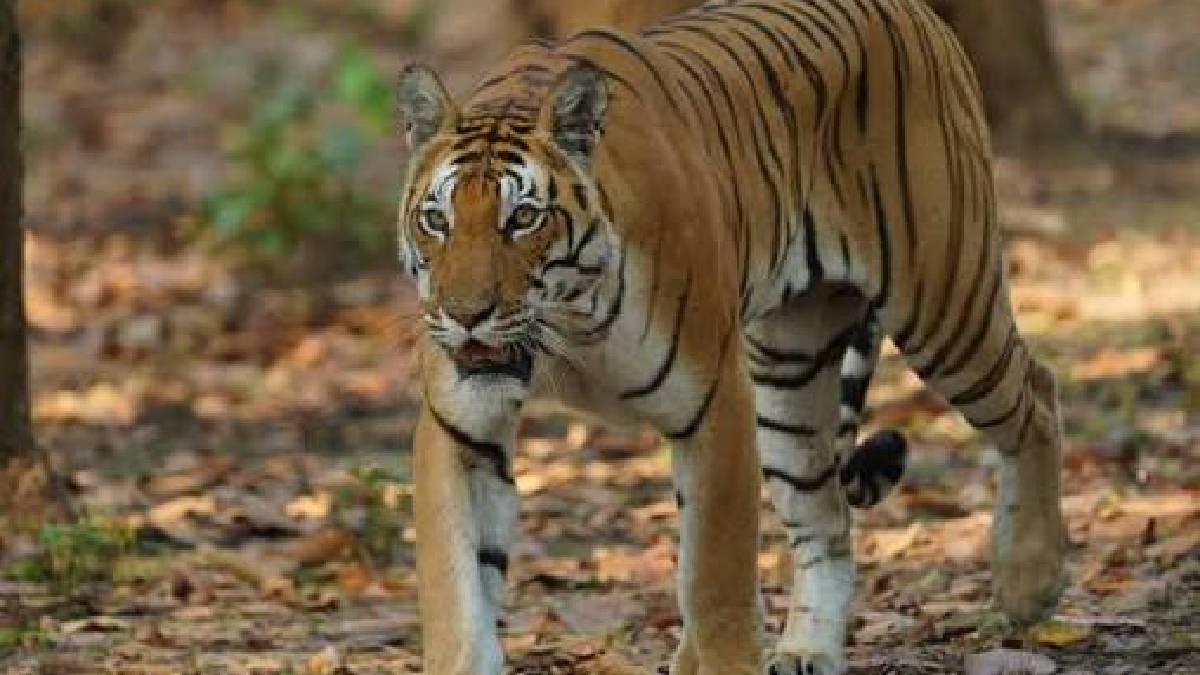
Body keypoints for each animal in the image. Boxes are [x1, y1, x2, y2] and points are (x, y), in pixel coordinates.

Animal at [396, 0, 1068, 673]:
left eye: (523, 218)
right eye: (437, 220)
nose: (465, 314)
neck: (567, 323)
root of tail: (919, 14)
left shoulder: (713, 401)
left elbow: (714, 577)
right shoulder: (461, 425)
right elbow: (457, 587)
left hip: (945, 301)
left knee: (1035, 396)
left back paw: (1031, 578)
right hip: (791, 370)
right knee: (826, 517)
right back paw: (806, 649)